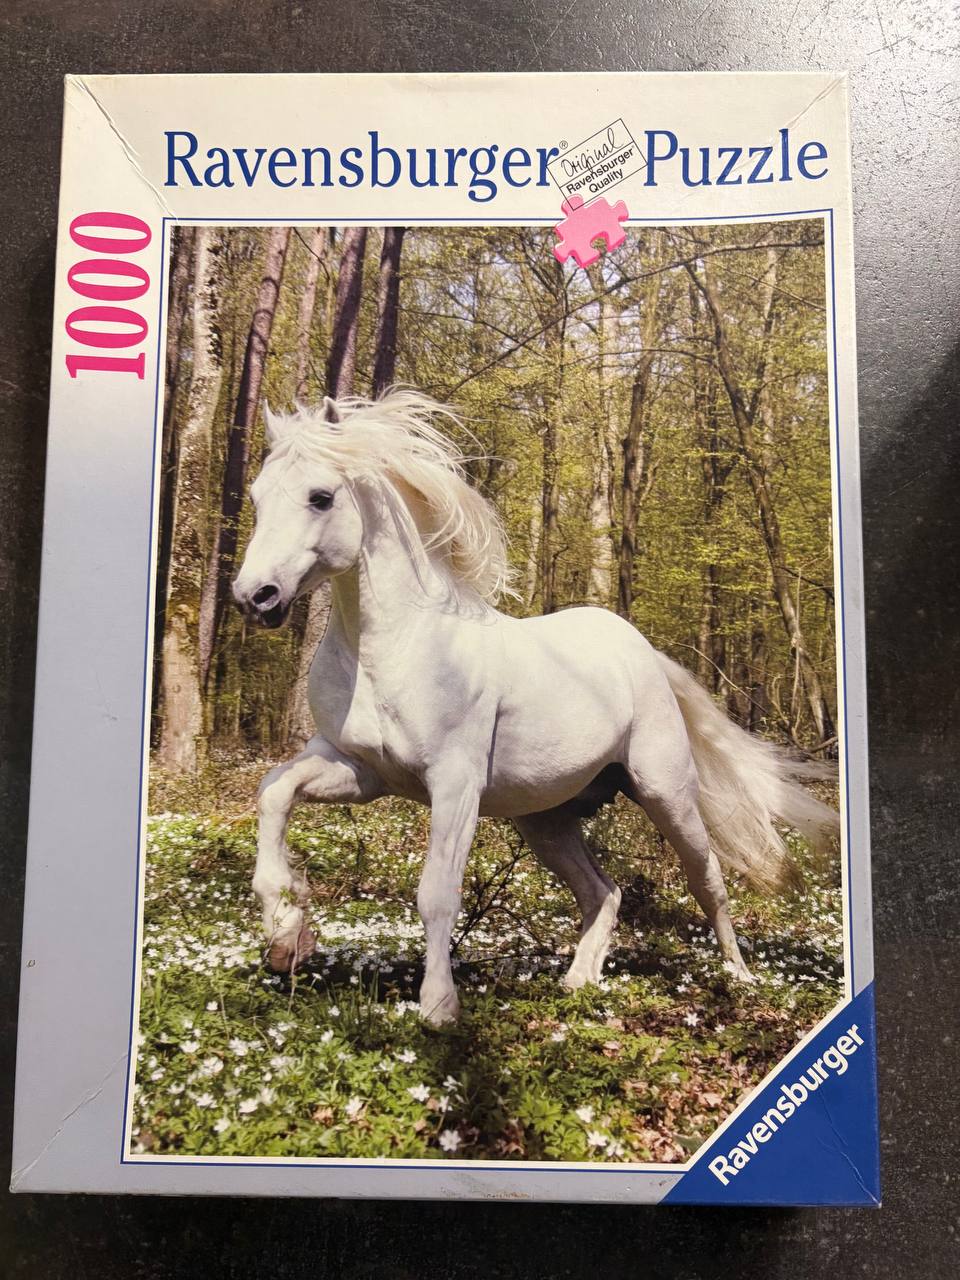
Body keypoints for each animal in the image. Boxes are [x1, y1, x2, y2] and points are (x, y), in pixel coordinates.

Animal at [232, 389, 839, 1025]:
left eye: (321, 497)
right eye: (256, 497)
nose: (255, 597)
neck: (390, 650)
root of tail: (642, 652)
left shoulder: (454, 783)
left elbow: (436, 892)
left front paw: (439, 1007)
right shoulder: (359, 769)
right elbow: (274, 791)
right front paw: (285, 933)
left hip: (666, 793)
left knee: (709, 881)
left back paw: (740, 979)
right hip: (545, 819)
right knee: (603, 891)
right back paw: (579, 982)